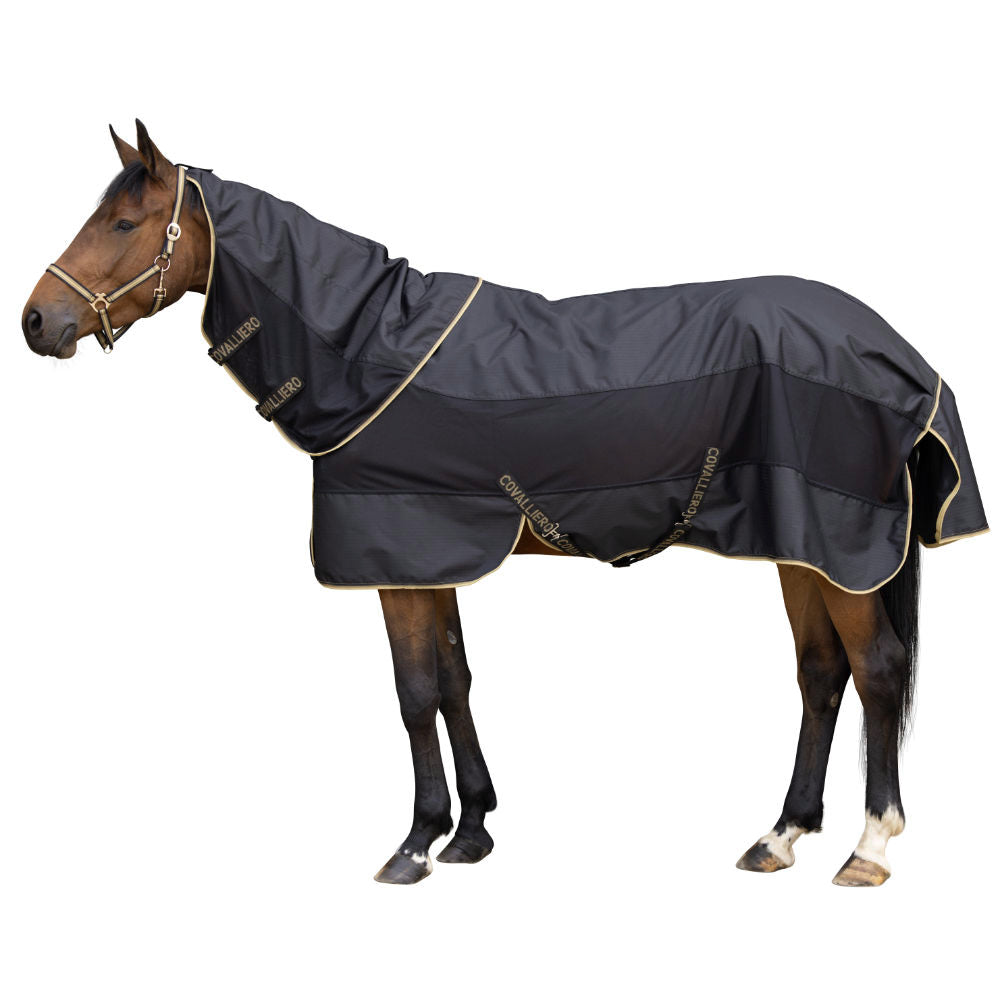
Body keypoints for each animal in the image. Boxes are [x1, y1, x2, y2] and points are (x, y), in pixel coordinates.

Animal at [21, 120, 988, 887]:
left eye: (123, 222)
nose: (36, 322)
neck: (371, 348)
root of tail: (897, 351)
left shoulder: (396, 557)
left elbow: (414, 692)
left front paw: (414, 845)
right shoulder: (431, 555)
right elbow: (454, 681)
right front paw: (473, 831)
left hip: (842, 549)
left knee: (877, 671)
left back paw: (868, 849)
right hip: (804, 549)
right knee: (822, 675)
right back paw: (780, 836)